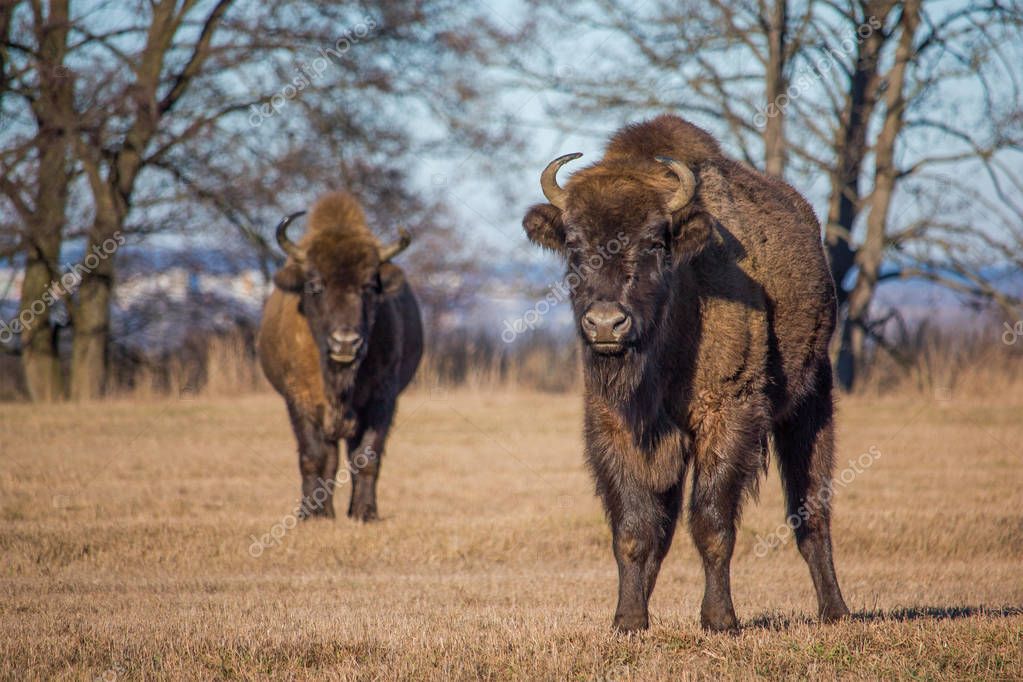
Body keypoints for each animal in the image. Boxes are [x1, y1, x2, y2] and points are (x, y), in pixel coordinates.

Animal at [261, 192, 425, 523]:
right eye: (315, 285)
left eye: (369, 286)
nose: (345, 342)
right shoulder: (299, 400)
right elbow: (314, 457)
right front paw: (311, 515)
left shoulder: (381, 400)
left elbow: (366, 456)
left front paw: (365, 513)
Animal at [523, 114, 851, 633]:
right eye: (573, 245)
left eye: (655, 241)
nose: (606, 324)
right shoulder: (614, 425)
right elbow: (635, 528)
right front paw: (628, 618)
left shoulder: (728, 415)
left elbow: (711, 522)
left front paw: (719, 619)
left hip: (813, 398)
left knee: (811, 511)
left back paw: (835, 610)